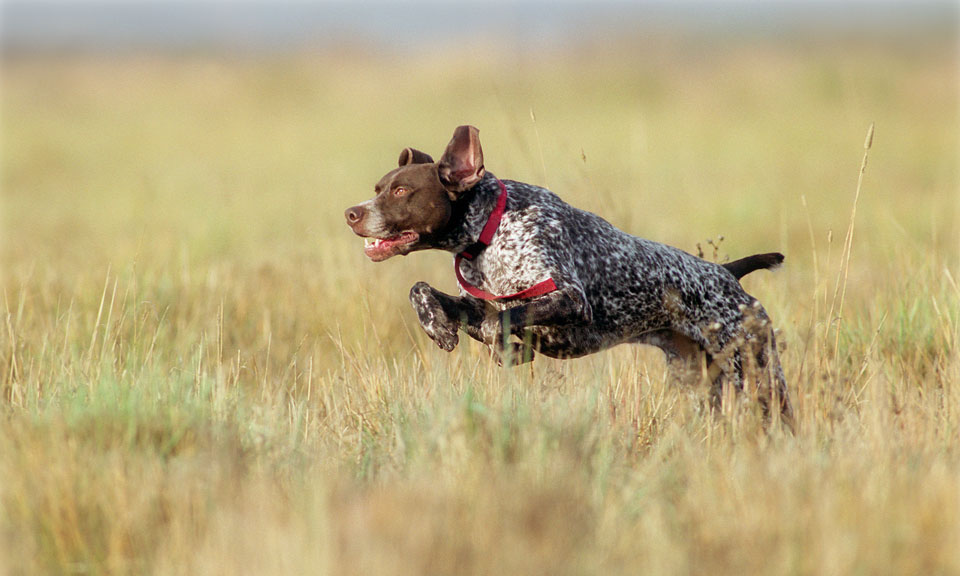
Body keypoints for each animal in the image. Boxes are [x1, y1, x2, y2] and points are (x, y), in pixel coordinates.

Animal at [348, 125, 792, 424]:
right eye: (378, 188)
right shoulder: (477, 303)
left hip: (758, 374)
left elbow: (501, 321)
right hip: (699, 381)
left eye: (402, 192)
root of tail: (726, 274)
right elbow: (422, 291)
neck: (489, 231)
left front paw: (508, 349)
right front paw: (438, 326)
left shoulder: (570, 299)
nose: (352, 213)